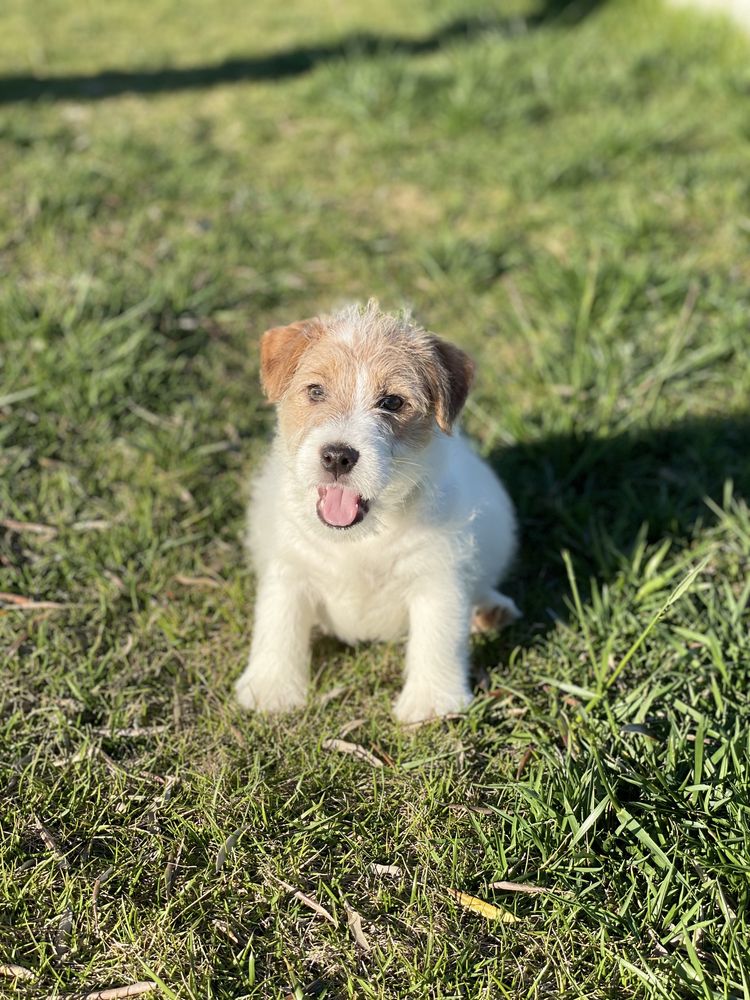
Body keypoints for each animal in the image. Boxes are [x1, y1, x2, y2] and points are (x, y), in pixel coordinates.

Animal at [238, 300, 520, 724]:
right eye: (316, 391)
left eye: (392, 402)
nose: (338, 456)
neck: (361, 538)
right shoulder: (290, 570)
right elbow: (278, 625)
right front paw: (271, 688)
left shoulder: (437, 579)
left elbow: (437, 638)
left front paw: (431, 702)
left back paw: (489, 610)